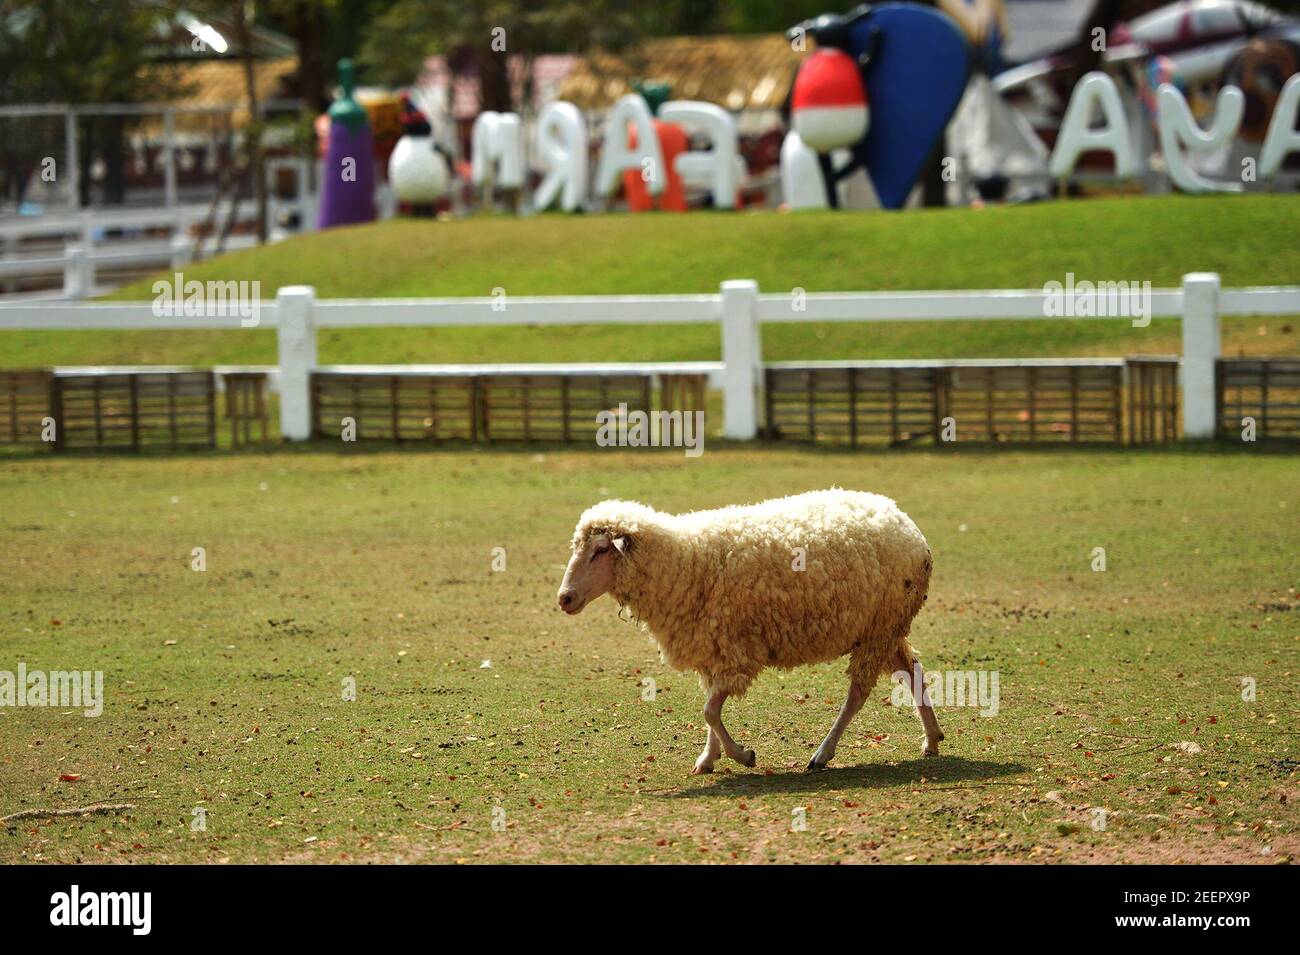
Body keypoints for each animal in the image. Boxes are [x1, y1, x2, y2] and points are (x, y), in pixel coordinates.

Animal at [559, 488, 946, 774]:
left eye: (601, 550)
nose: (564, 598)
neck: (683, 562)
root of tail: (905, 522)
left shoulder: (737, 654)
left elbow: (709, 711)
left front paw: (742, 755)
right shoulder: (715, 650)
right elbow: (710, 709)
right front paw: (708, 758)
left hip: (881, 626)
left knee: (858, 693)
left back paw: (823, 753)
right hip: (884, 628)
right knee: (913, 671)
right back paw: (932, 738)